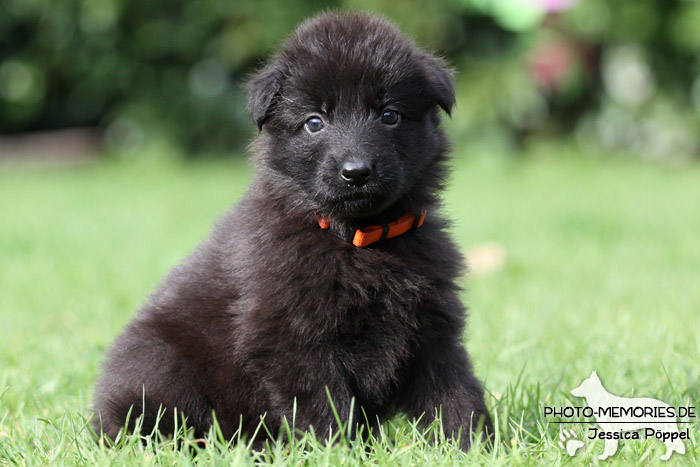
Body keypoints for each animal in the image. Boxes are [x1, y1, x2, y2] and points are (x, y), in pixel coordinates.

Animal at [93, 10, 492, 450]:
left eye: (390, 114)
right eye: (314, 122)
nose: (356, 172)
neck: (359, 241)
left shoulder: (432, 330)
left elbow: (454, 393)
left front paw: (472, 446)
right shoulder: (291, 337)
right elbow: (323, 405)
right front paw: (332, 452)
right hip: (159, 367)